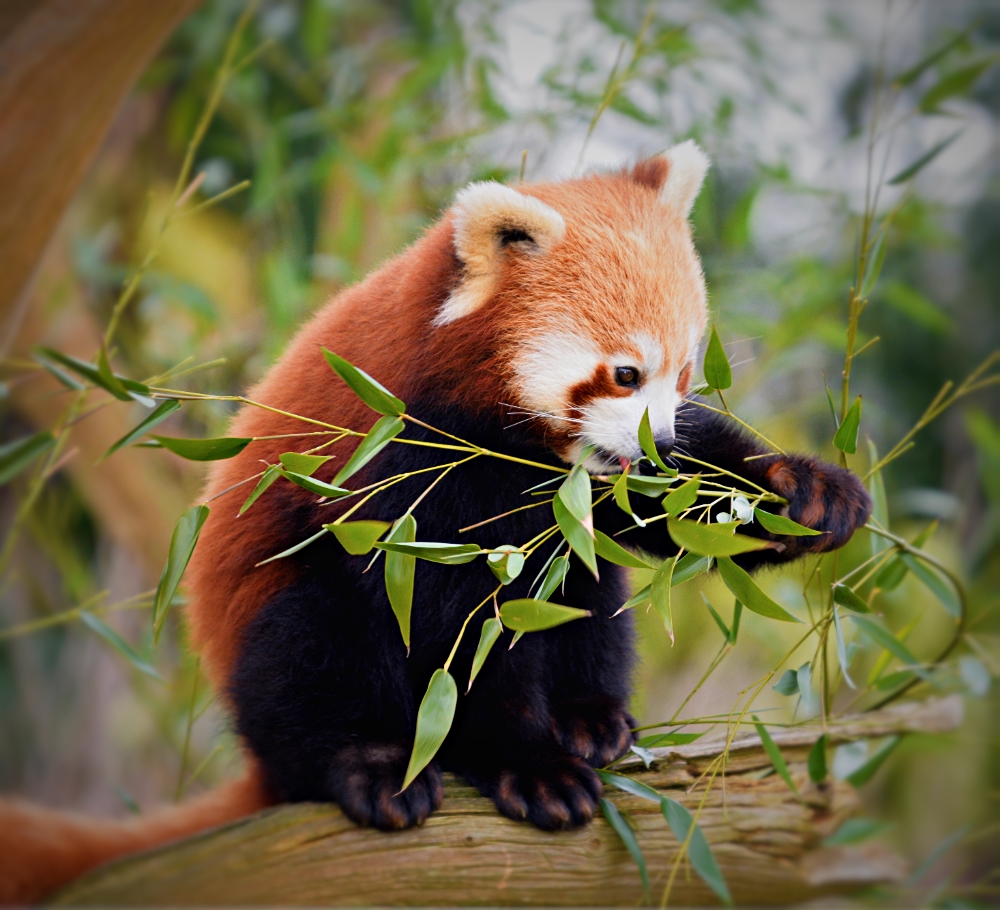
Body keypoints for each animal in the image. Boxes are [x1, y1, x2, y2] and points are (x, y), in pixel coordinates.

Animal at [0, 142, 871, 903]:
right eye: (625, 374)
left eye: (686, 375)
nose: (650, 444)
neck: (493, 421)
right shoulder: (404, 458)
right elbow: (456, 621)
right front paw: (527, 763)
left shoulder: (575, 482)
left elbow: (659, 509)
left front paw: (800, 492)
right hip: (283, 623)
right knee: (315, 638)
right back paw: (371, 763)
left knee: (586, 587)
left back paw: (591, 717)